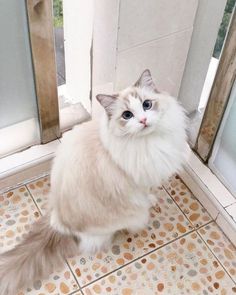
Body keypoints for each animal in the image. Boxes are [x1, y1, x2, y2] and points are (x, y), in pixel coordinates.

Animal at [0, 70, 188, 294]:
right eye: (127, 115)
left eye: (147, 105)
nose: (143, 120)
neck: (146, 142)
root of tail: (59, 223)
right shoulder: (139, 182)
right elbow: (146, 194)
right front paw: (151, 201)